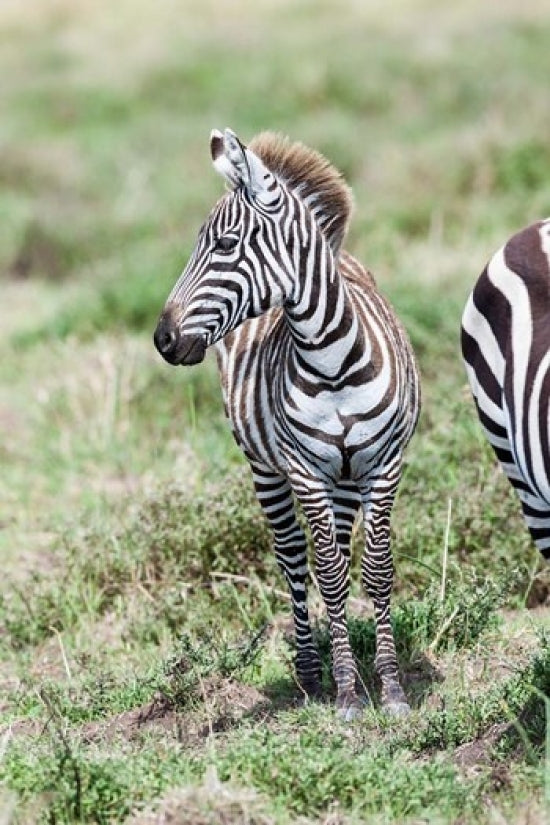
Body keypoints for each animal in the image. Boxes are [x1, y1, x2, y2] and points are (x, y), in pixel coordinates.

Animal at [154, 128, 420, 719]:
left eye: (225, 245)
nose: (162, 340)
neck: (334, 360)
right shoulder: (303, 471)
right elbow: (328, 574)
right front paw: (346, 692)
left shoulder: (384, 466)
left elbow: (375, 570)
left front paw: (390, 686)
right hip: (267, 468)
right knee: (296, 557)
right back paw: (310, 669)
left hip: (344, 477)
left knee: (334, 551)